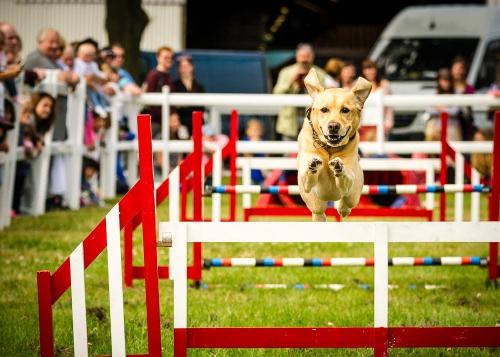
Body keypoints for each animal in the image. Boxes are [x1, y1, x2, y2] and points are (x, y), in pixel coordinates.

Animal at [296, 67, 372, 220]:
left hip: (354, 195)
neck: (329, 148)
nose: (333, 126)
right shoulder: (305, 183)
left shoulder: (350, 181)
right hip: (316, 204)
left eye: (345, 110)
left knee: (345, 205)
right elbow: (306, 176)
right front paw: (312, 165)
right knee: (319, 212)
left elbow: (346, 177)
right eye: (324, 109)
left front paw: (338, 167)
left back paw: (342, 209)